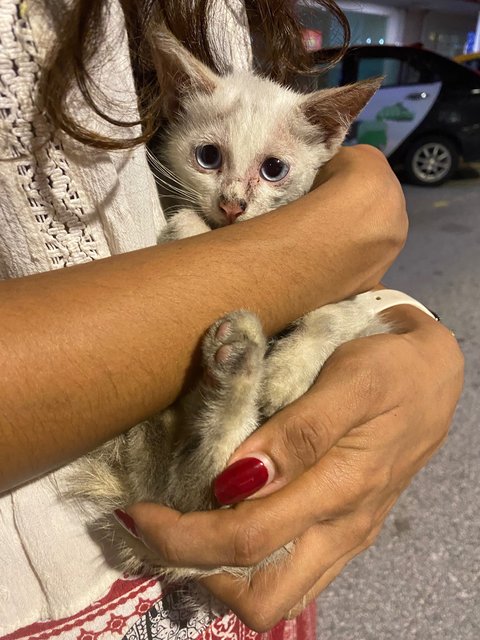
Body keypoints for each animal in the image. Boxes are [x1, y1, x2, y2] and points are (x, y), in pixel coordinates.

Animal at [71, 30, 386, 580]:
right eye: (208, 157)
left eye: (274, 169)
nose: (233, 204)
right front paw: (189, 226)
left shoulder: (354, 290)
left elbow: (333, 315)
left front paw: (286, 375)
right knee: (200, 483)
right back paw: (236, 367)